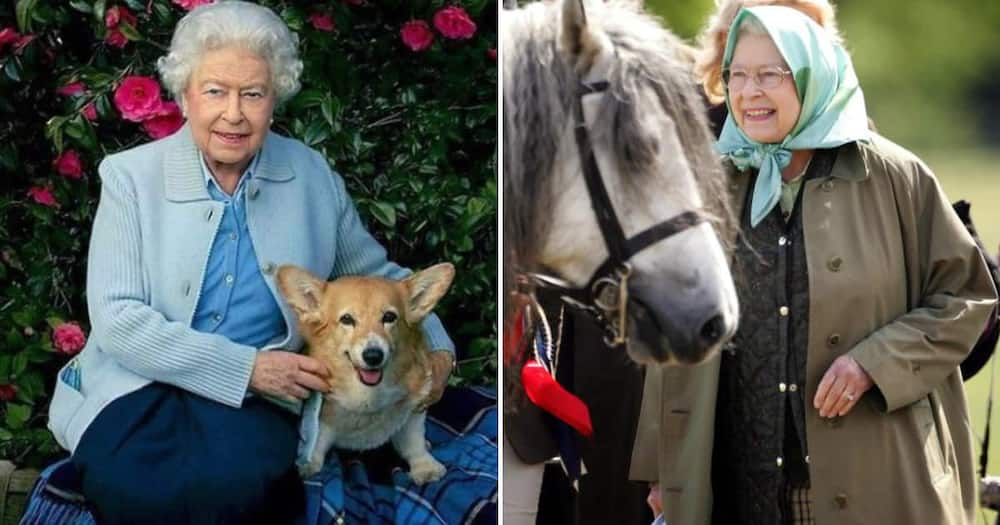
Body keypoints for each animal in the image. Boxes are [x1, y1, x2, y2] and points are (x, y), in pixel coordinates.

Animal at [278, 262, 458, 484]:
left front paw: (425, 467)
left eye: (389, 317)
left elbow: (413, 441)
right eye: (347, 319)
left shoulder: (413, 408)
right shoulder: (323, 415)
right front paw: (309, 463)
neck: (368, 395)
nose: (373, 355)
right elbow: (318, 438)